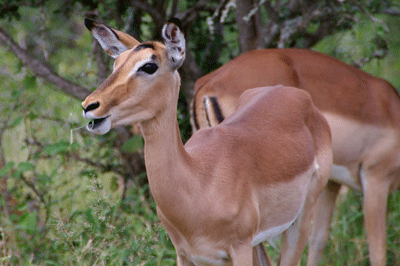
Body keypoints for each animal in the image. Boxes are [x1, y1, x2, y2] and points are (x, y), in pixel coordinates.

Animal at [81, 19, 332, 266]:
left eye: (149, 66)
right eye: (116, 64)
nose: (89, 105)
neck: (199, 181)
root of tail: (299, 97)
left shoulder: (239, 248)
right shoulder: (186, 255)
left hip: (300, 220)